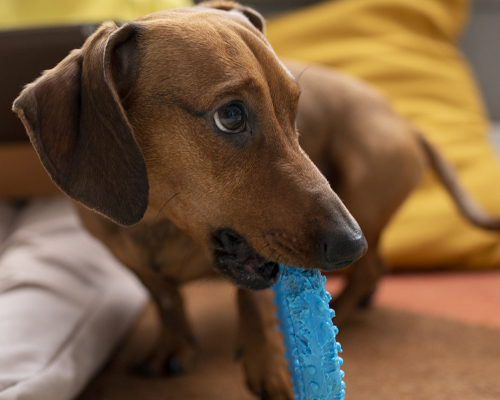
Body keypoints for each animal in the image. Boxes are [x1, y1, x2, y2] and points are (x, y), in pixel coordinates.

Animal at [11, 0, 500, 400]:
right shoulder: (124, 256)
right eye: (230, 116)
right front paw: (173, 343)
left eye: (295, 109)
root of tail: (408, 123)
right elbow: (165, 298)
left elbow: (252, 302)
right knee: (375, 263)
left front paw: (268, 365)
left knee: (374, 264)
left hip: (363, 182)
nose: (349, 245)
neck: (161, 221)